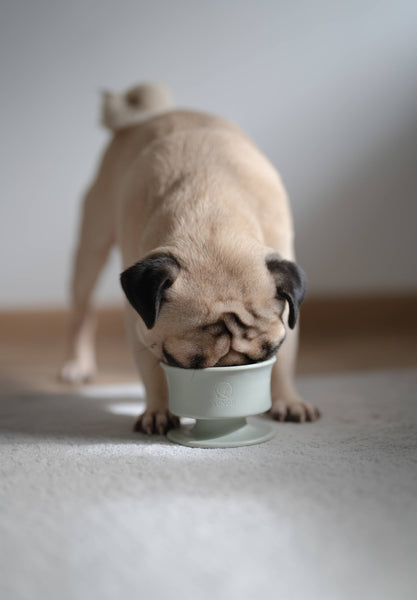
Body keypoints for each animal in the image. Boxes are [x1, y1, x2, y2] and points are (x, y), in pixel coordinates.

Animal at [59, 82, 318, 434]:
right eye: (180, 362)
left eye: (269, 352)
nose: (231, 371)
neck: (213, 221)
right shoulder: (140, 326)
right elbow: (151, 369)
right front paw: (157, 410)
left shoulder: (289, 312)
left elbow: (287, 360)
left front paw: (287, 400)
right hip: (92, 242)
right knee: (81, 310)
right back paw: (76, 364)